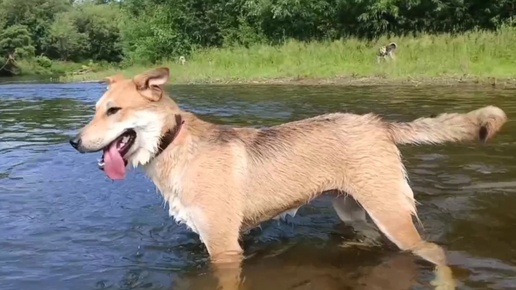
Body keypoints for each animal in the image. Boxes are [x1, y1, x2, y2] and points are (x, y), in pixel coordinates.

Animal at [69, 67, 508, 288]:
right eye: (96, 110)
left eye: (114, 111)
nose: (73, 141)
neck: (173, 145)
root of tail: (379, 123)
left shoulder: (224, 250)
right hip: (353, 210)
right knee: (370, 238)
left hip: (392, 215)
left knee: (436, 250)